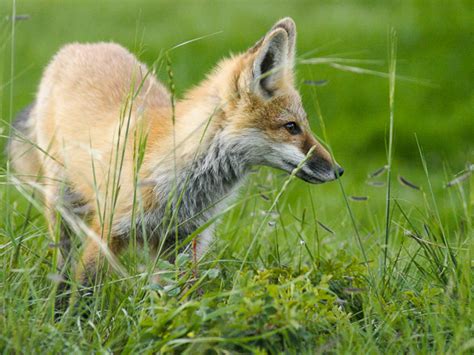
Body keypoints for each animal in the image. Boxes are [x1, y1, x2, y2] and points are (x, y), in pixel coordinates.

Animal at [7, 18, 342, 286]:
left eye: (304, 125)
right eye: (291, 127)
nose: (338, 171)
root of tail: (79, 46)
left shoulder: (184, 241)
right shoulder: (107, 230)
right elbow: (85, 289)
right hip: (61, 205)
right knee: (62, 262)